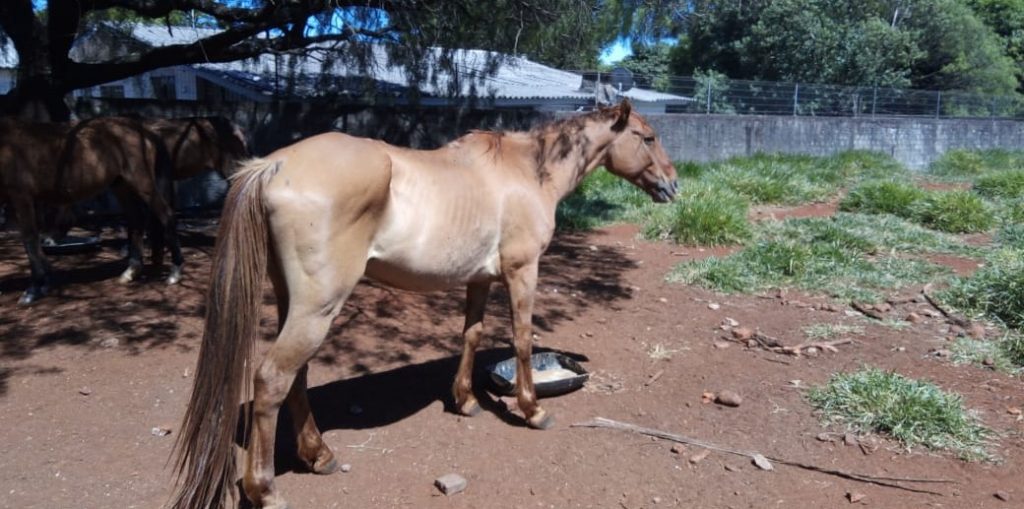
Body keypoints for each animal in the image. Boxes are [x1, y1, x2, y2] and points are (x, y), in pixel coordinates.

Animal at [0, 116, 184, 304]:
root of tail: (143, 130)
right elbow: (34, 242)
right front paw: (45, 281)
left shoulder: (21, 197)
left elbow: (29, 240)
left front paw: (34, 288)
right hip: (121, 185)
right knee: (137, 220)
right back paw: (130, 272)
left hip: (142, 183)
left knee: (166, 215)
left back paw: (174, 272)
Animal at [168, 100, 678, 509]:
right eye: (648, 137)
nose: (673, 186)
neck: (525, 173)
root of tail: (272, 165)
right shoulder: (522, 271)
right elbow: (522, 340)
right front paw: (533, 410)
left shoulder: (480, 279)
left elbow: (471, 335)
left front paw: (466, 401)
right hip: (318, 307)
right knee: (273, 379)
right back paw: (267, 490)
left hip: (296, 303)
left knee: (297, 376)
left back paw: (320, 455)